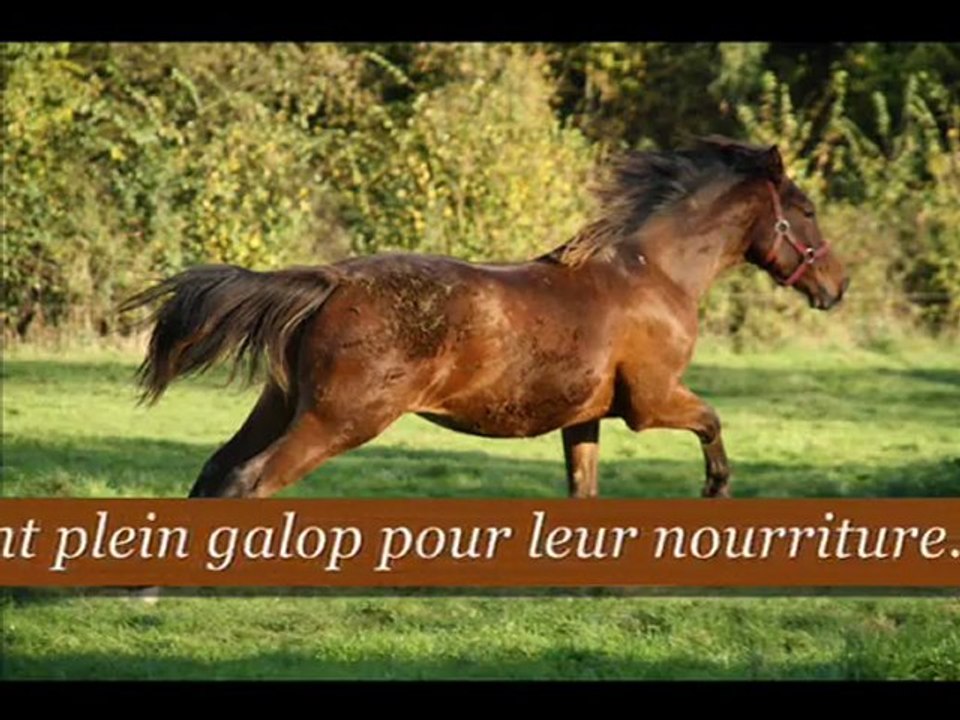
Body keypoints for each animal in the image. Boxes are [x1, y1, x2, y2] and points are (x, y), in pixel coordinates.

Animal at [121, 136, 848, 500]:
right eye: (807, 210)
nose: (837, 287)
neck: (654, 273)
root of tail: (331, 282)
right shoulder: (651, 402)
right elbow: (714, 424)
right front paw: (716, 492)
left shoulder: (584, 417)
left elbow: (583, 494)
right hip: (340, 422)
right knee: (248, 481)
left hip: (281, 405)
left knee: (216, 472)